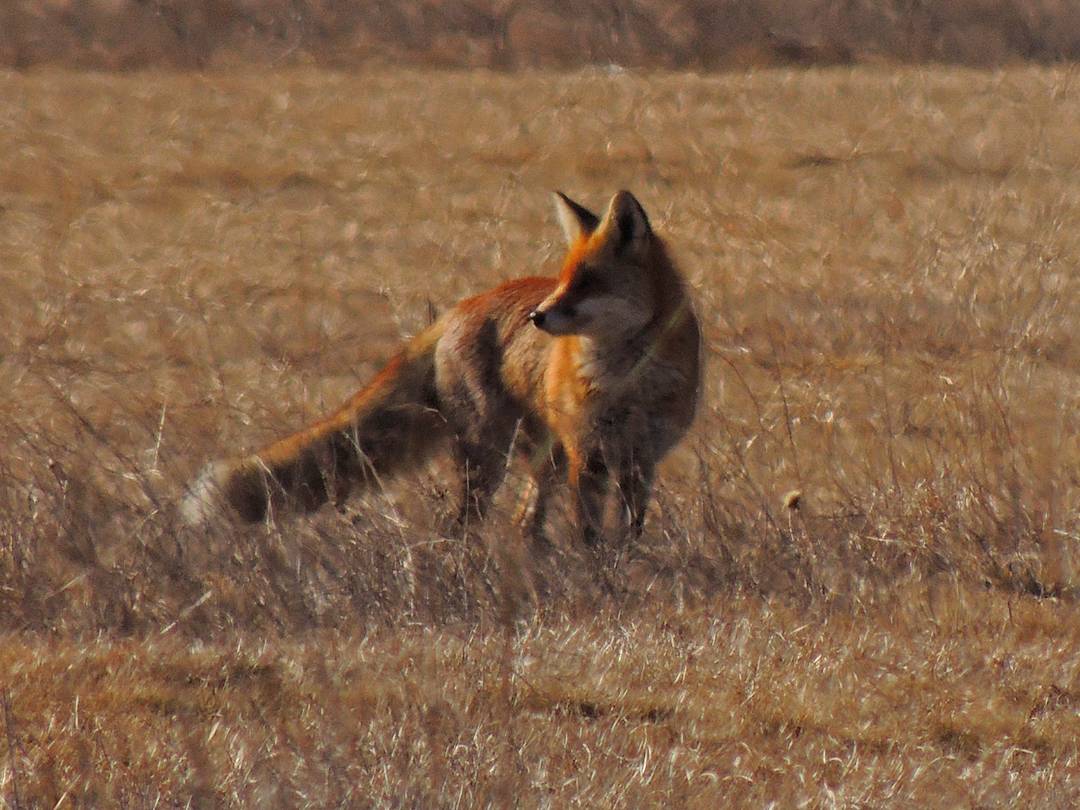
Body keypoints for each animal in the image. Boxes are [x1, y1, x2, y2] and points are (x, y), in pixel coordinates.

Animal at [182, 190, 701, 546]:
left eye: (587, 282)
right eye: (562, 279)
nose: (538, 317)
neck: (630, 383)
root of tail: (458, 309)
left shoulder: (641, 458)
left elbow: (629, 530)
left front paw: (622, 565)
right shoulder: (587, 453)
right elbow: (589, 532)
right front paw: (596, 572)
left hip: (539, 459)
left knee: (522, 522)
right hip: (490, 454)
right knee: (465, 522)